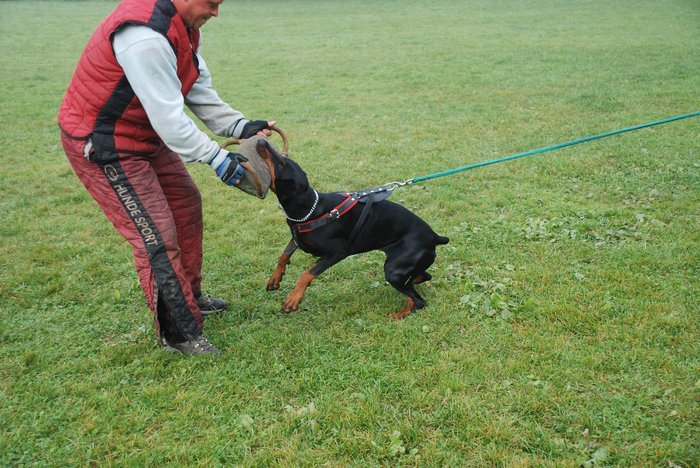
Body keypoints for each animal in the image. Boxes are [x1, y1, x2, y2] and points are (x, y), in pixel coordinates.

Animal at [256, 139, 449, 319]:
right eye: (283, 159)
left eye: (281, 164)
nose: (261, 140)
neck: (311, 207)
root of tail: (435, 236)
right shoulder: (298, 238)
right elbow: (284, 254)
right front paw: (275, 279)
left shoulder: (339, 251)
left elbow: (307, 273)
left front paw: (293, 299)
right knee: (423, 277)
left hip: (393, 270)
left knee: (419, 301)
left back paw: (396, 316)